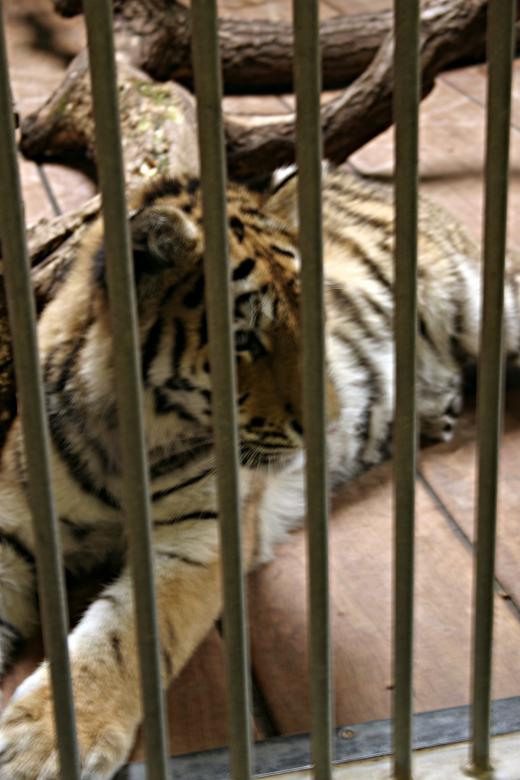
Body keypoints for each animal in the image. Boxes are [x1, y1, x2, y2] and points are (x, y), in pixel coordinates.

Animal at [0, 163, 518, 779]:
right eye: (243, 339)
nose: (331, 421)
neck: (123, 440)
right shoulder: (15, 524)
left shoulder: (199, 538)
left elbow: (121, 636)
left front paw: (46, 745)